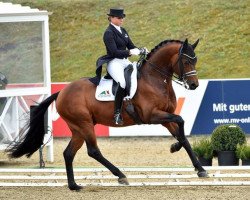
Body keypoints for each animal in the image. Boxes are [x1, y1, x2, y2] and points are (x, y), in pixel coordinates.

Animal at [6, 38, 208, 191]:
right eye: (186, 61)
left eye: (195, 60)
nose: (194, 85)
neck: (155, 79)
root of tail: (61, 92)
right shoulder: (151, 116)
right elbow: (181, 121)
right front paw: (176, 148)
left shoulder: (165, 116)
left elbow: (183, 135)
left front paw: (198, 167)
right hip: (84, 124)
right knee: (93, 151)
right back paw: (120, 175)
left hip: (78, 128)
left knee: (69, 153)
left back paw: (74, 185)